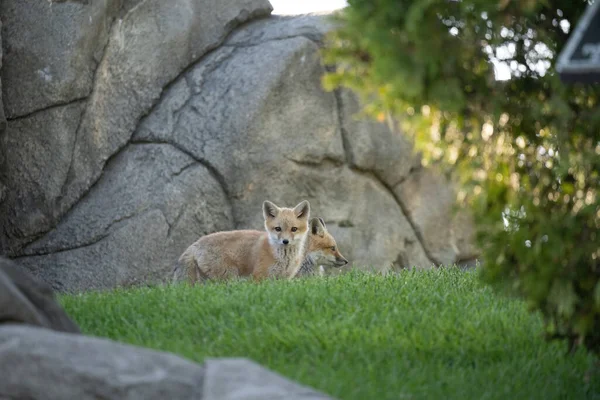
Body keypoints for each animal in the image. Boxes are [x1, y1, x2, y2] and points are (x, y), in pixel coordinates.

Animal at [177, 199, 310, 282]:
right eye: (278, 229)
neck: (283, 258)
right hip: (229, 276)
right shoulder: (259, 276)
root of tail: (196, 243)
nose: (285, 241)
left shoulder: (283, 279)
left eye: (294, 229)